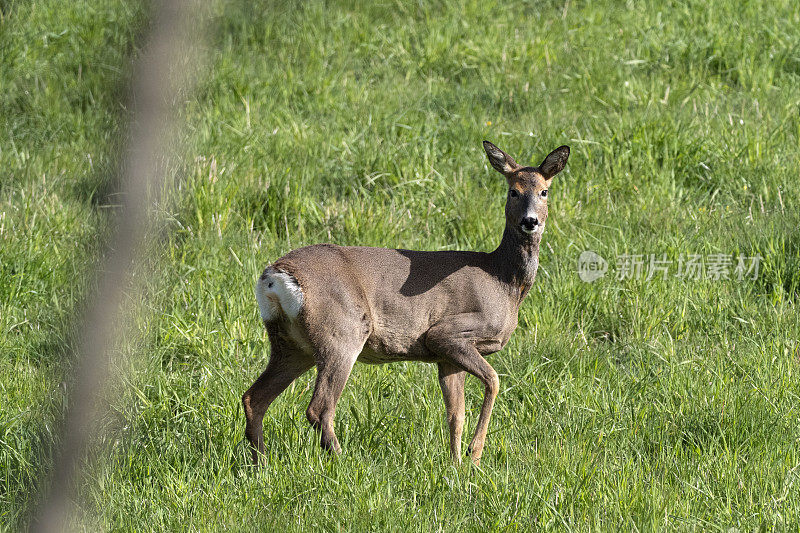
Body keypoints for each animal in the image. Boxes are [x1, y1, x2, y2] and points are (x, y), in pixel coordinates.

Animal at [244, 139, 568, 464]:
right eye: (513, 190)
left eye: (544, 191)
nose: (530, 221)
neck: (504, 282)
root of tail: (276, 275)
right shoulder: (448, 333)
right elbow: (494, 381)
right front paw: (474, 455)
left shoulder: (445, 357)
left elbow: (456, 414)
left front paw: (456, 463)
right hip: (341, 332)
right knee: (319, 408)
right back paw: (343, 460)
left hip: (291, 343)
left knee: (253, 397)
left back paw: (260, 462)